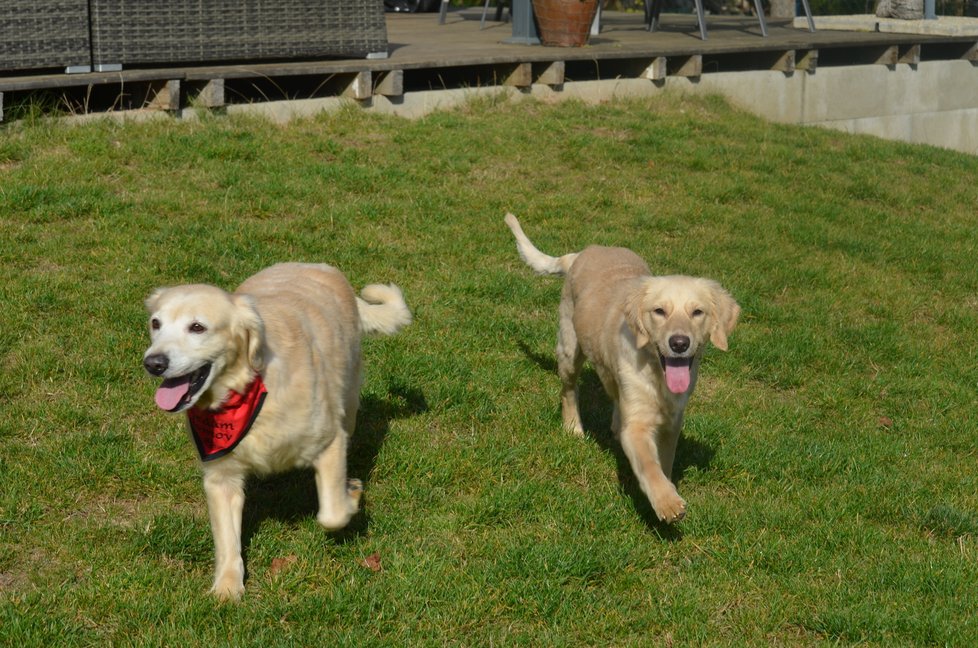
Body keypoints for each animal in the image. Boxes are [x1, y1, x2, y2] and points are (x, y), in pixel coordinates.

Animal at [141, 262, 408, 596]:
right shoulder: (220, 475)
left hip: (348, 404)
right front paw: (227, 588)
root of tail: (317, 265)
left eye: (198, 327)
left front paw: (351, 495)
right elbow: (227, 540)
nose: (153, 363)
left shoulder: (330, 441)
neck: (246, 389)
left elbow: (332, 514)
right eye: (156, 323)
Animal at [508, 215, 736, 524]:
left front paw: (669, 488)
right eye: (659, 311)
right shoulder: (638, 424)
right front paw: (666, 503)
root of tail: (582, 252)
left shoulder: (673, 421)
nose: (679, 343)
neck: (657, 375)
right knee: (569, 390)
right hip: (569, 348)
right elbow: (650, 466)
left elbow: (664, 462)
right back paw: (573, 427)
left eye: (697, 312)